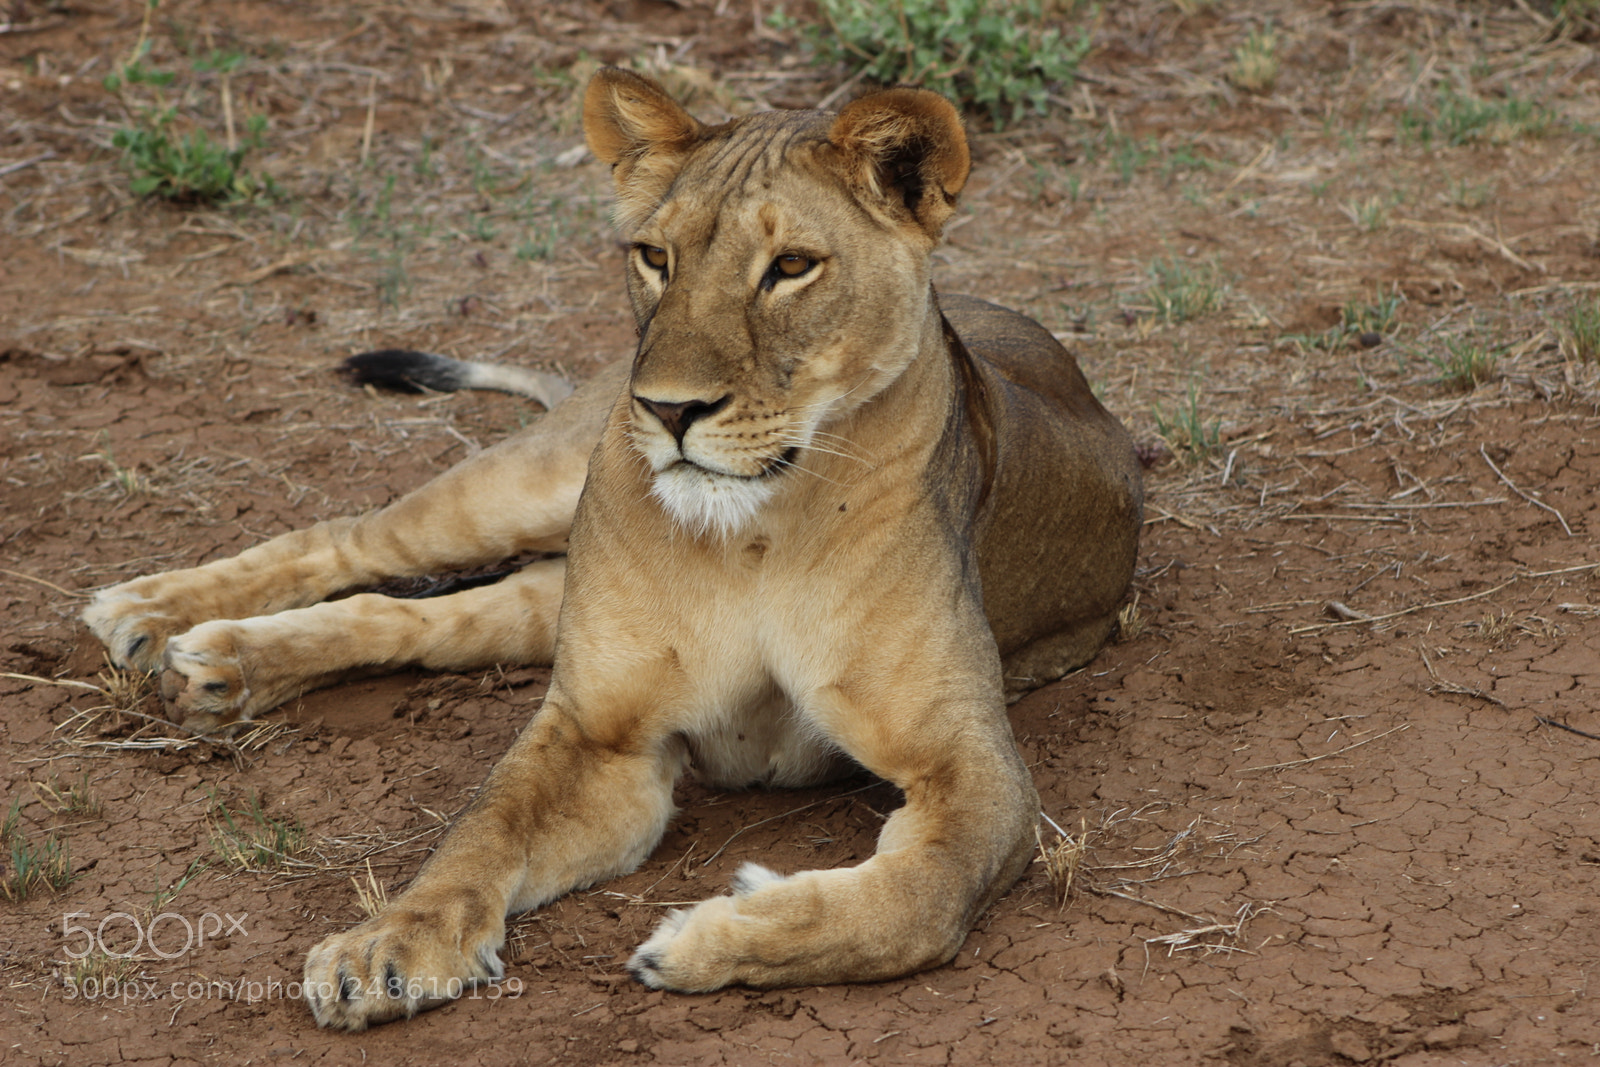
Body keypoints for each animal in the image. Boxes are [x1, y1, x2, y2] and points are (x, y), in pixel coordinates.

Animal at [82, 69, 1143, 1029]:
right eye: (653, 256)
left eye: (792, 266)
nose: (668, 410)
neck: (755, 533)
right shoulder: (601, 731)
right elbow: (483, 828)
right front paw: (390, 943)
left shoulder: (973, 767)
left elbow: (920, 898)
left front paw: (714, 935)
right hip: (524, 487)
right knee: (347, 541)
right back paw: (151, 616)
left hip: (539, 600)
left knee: (412, 616)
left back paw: (223, 665)